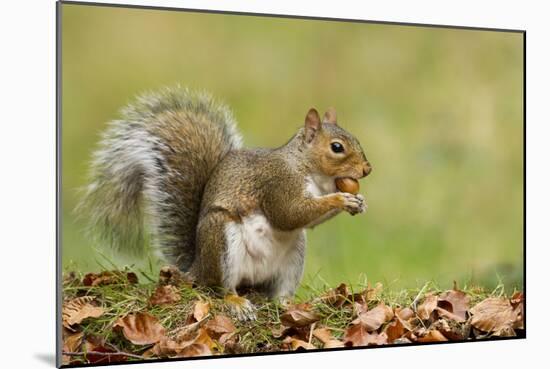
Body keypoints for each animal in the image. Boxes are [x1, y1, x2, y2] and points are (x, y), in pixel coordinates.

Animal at [80, 85, 374, 316]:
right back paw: (236, 302)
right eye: (337, 147)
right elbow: (289, 214)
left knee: (278, 293)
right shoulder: (278, 184)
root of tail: (197, 269)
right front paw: (341, 199)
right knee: (220, 288)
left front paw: (358, 200)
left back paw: (288, 305)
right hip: (221, 240)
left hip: (293, 257)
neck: (308, 169)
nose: (367, 169)